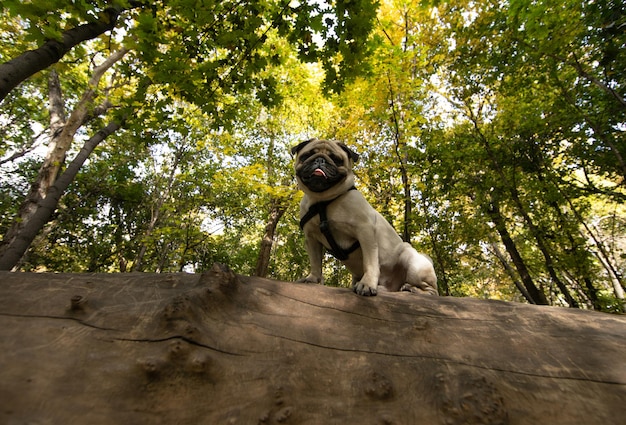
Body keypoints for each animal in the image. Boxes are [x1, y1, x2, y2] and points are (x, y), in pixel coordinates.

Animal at [290, 138, 436, 294]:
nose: (320, 160)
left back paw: (412, 289)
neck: (322, 200)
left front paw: (367, 283)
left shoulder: (365, 231)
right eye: (306, 155)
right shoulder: (311, 238)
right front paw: (313, 278)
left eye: (336, 159)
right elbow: (315, 262)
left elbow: (370, 263)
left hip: (411, 260)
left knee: (432, 291)